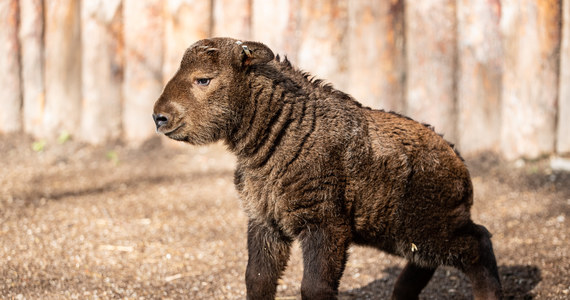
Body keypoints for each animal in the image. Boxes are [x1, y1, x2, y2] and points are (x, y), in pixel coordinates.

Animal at [152, 38, 502, 300]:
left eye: (203, 79)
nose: (159, 117)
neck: (283, 131)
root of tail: (458, 159)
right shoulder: (265, 221)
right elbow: (258, 280)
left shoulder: (325, 224)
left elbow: (314, 287)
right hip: (399, 231)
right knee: (426, 260)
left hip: (430, 226)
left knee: (478, 242)